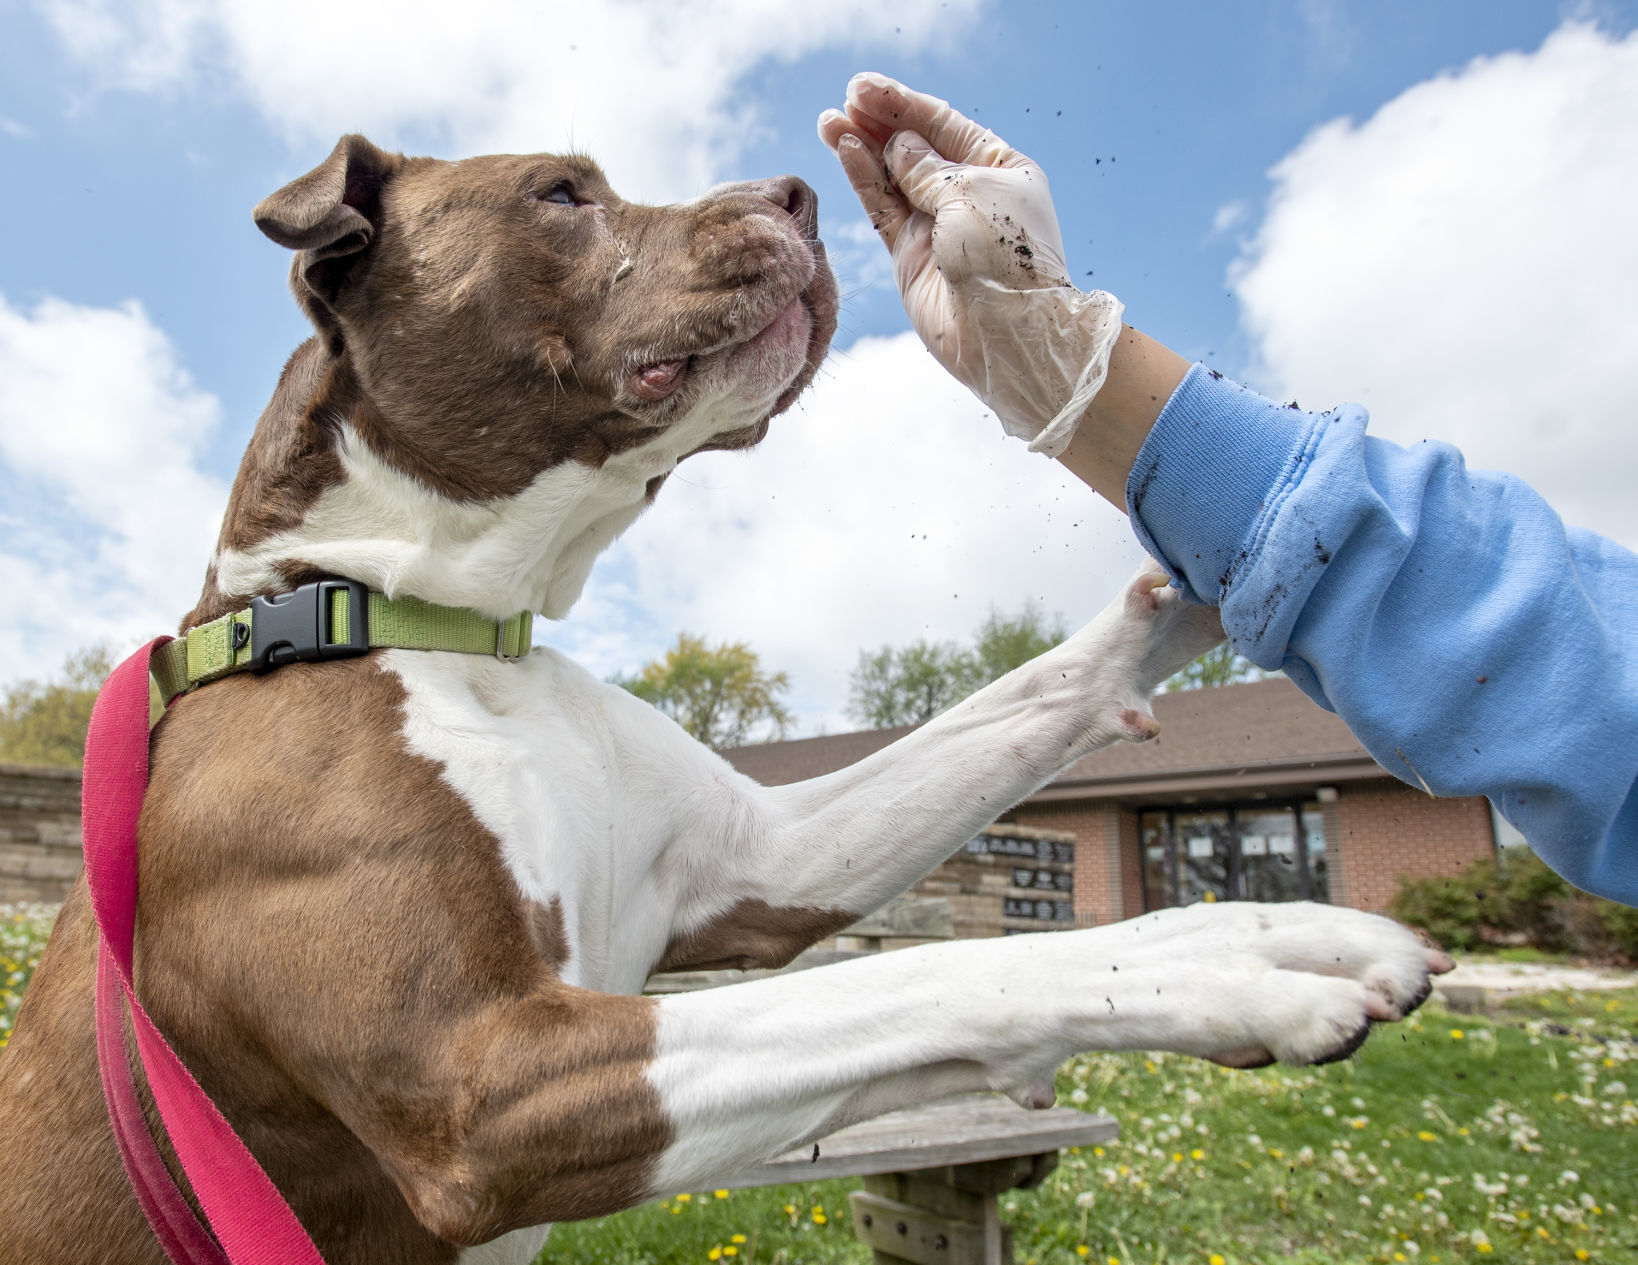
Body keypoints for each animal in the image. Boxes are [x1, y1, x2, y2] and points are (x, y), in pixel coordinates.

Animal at [0, 138, 1441, 1265]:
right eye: (561, 193)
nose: (797, 193)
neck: (442, 622)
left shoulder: (764, 861)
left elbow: (1025, 710)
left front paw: (1230, 548)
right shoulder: (484, 1078)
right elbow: (944, 966)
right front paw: (1244, 956)